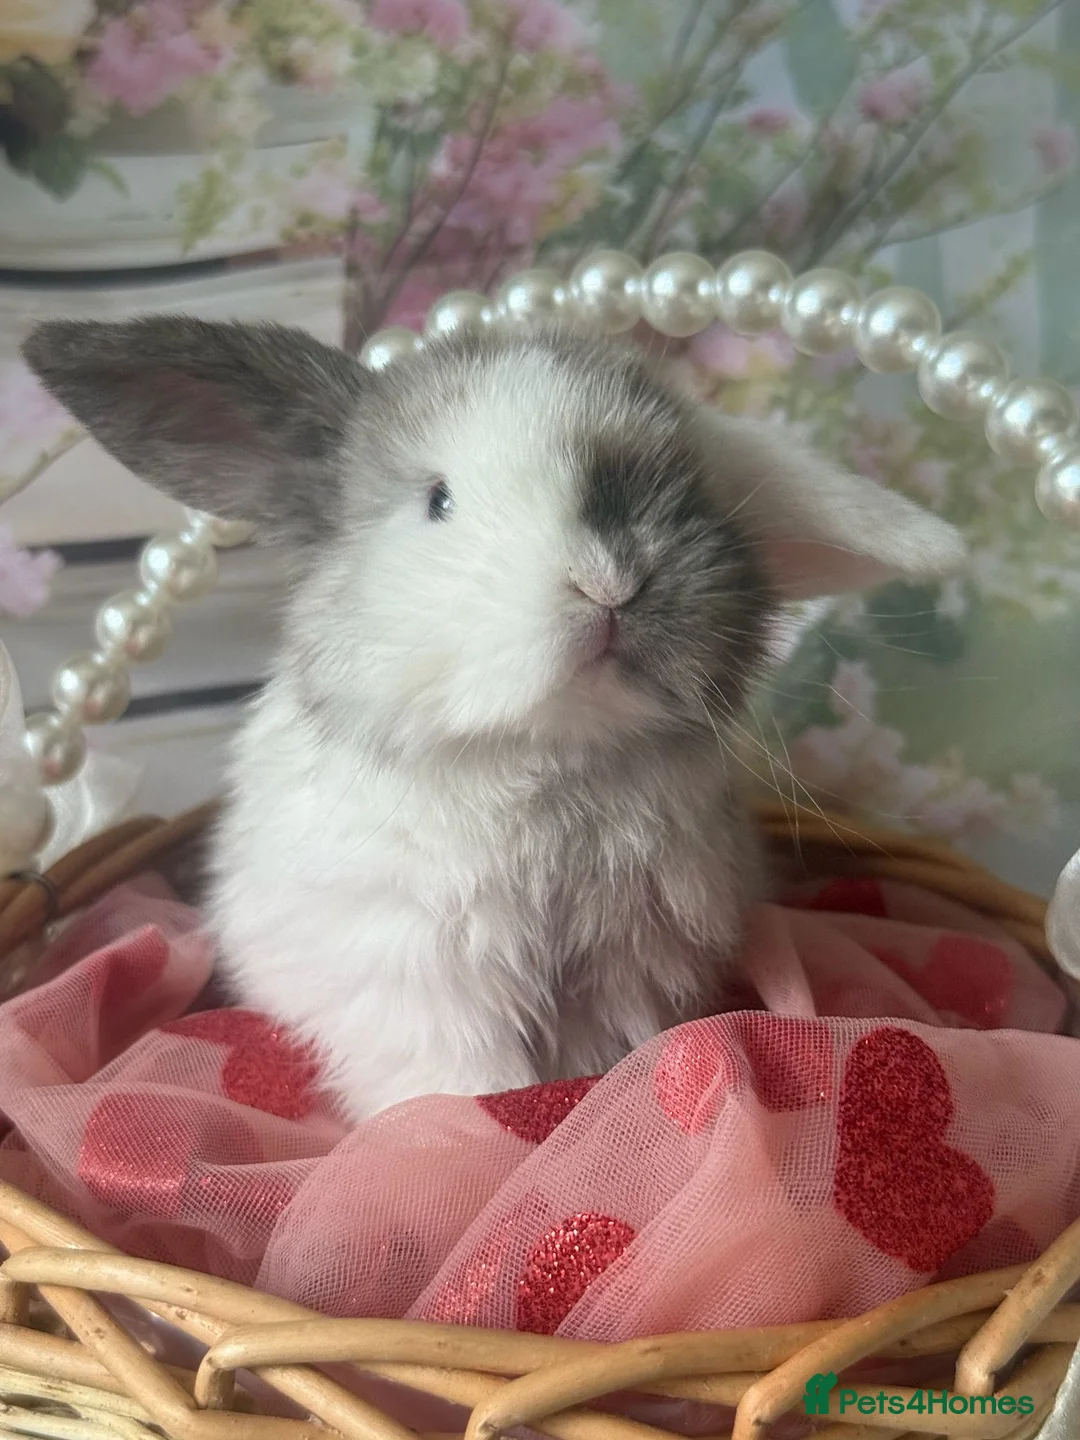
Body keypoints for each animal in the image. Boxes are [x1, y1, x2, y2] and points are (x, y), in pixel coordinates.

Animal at [23, 316, 965, 1120]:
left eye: (687, 492)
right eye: (437, 500)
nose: (610, 581)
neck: (543, 757)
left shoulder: (624, 976)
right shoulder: (420, 974)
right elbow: (466, 1080)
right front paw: (481, 1134)